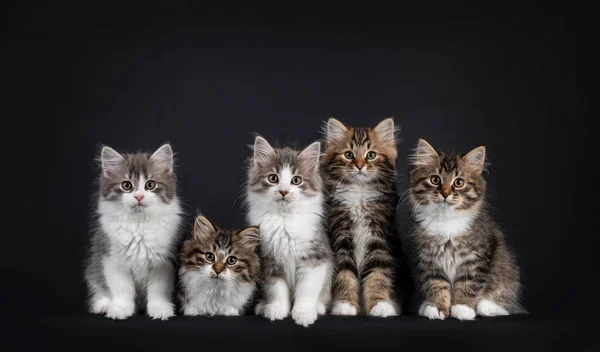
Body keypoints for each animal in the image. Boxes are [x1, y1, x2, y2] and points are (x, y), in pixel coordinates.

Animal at [83, 144, 183, 320]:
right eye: (126, 185)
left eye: (150, 185)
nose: (139, 196)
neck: (139, 224)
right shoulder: (112, 258)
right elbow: (121, 288)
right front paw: (120, 308)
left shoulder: (163, 262)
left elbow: (158, 289)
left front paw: (159, 309)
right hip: (94, 266)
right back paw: (104, 305)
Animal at [245, 137, 338, 328]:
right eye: (273, 178)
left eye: (296, 180)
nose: (283, 191)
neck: (284, 220)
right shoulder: (269, 261)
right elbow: (276, 289)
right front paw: (276, 309)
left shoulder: (314, 259)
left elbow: (307, 290)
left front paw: (303, 313)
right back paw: (263, 306)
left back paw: (318, 307)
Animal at [318, 117, 408, 316]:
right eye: (349, 154)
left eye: (371, 155)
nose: (359, 165)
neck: (358, 194)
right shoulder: (341, 239)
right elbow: (345, 276)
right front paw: (345, 305)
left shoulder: (379, 240)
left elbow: (378, 275)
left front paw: (380, 305)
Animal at [408, 139, 524, 320]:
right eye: (435, 179)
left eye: (458, 182)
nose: (445, 194)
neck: (446, 220)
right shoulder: (430, 259)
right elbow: (437, 285)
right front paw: (437, 307)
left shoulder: (476, 259)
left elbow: (468, 284)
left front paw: (462, 308)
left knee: (505, 305)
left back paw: (486, 306)